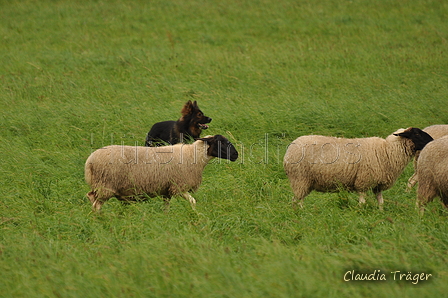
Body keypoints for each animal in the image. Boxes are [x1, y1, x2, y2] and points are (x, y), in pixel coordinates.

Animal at [85, 134, 238, 211]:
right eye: (222, 142)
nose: (236, 155)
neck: (193, 156)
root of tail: (89, 161)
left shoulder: (166, 190)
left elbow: (166, 207)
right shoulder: (178, 186)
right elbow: (193, 201)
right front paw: (196, 215)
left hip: (100, 185)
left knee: (91, 197)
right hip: (106, 185)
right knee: (96, 204)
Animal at [284, 128, 434, 210]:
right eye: (417, 134)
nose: (432, 141)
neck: (387, 151)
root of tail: (290, 148)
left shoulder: (377, 184)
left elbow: (381, 201)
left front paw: (381, 213)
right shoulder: (364, 180)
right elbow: (362, 201)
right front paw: (360, 212)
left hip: (306, 182)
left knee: (299, 199)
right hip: (300, 178)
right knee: (296, 199)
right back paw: (299, 212)